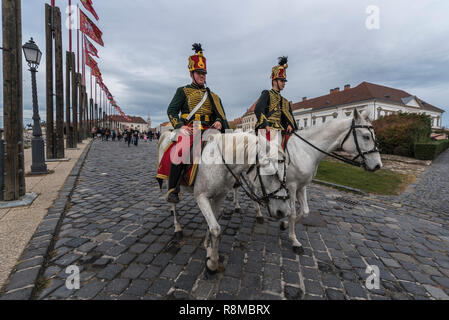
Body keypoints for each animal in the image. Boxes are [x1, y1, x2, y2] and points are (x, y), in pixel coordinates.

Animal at [158, 131, 290, 272]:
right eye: (271, 172)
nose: (283, 211)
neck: (220, 165)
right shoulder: (201, 197)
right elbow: (216, 229)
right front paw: (212, 263)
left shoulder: (219, 196)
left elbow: (212, 224)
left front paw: (208, 248)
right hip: (169, 182)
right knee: (173, 202)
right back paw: (177, 226)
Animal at [231, 109, 382, 254]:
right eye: (366, 136)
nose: (378, 165)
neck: (305, 151)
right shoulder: (291, 187)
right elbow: (292, 213)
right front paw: (294, 240)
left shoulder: (302, 186)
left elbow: (305, 212)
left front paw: (284, 225)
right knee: (237, 186)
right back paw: (238, 206)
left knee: (252, 188)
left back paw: (258, 213)